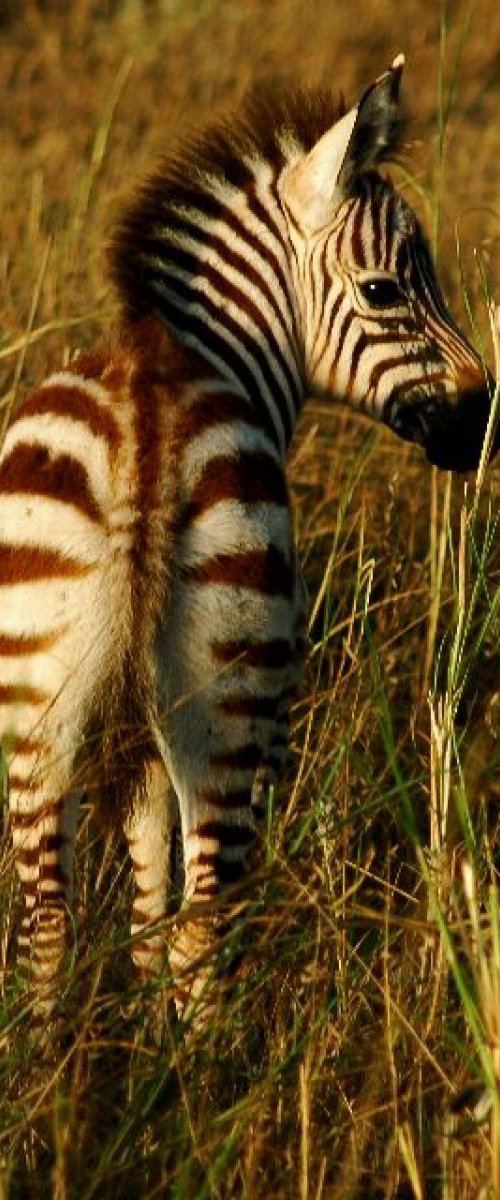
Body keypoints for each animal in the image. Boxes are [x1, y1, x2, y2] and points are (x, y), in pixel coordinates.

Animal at [0, 56, 494, 1032]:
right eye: (384, 290)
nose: (483, 416)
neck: (188, 347)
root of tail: (143, 427)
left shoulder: (134, 727)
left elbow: (145, 890)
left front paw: (138, 1012)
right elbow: (170, 903)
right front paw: (159, 1028)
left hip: (36, 693)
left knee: (46, 925)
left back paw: (58, 1076)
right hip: (232, 699)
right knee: (207, 919)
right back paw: (205, 1069)